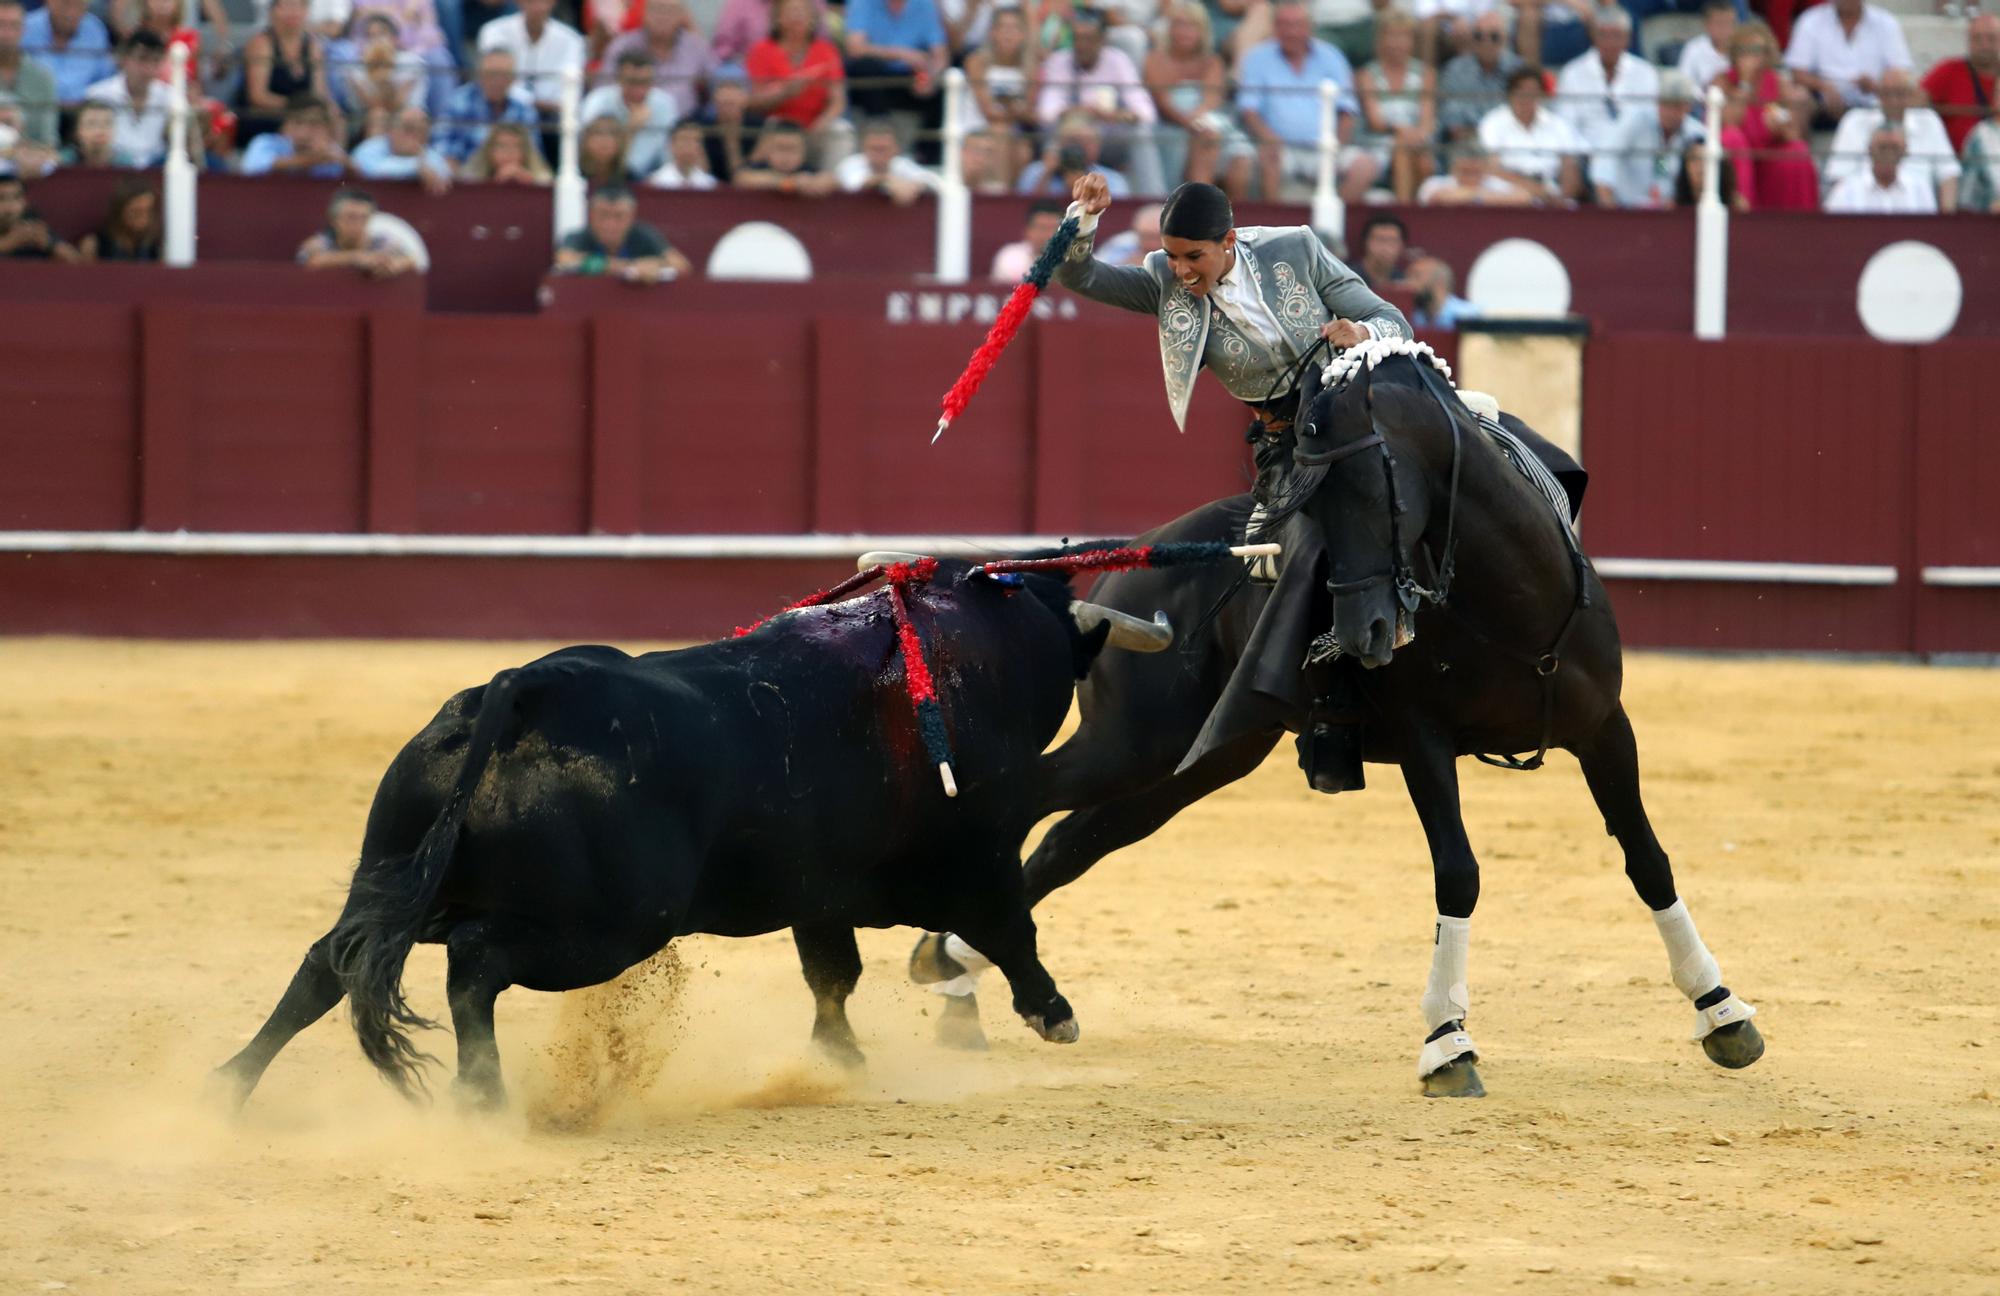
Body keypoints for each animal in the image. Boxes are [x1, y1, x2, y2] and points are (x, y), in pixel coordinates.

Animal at [215, 560, 1160, 1112]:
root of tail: (520, 690)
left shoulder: (819, 890)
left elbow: (832, 974)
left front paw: (838, 1058)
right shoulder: (981, 854)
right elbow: (1009, 929)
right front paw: (1055, 1015)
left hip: (394, 873)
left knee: (328, 962)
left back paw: (227, 1089)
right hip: (609, 926)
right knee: (473, 964)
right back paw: (483, 1098)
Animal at [920, 344, 1768, 1096]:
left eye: (1375, 492)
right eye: (1308, 507)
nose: (1366, 634)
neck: (1512, 603)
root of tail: (1135, 556)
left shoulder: (1604, 728)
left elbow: (1648, 859)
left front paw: (1721, 1010)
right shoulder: (1428, 739)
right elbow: (1458, 872)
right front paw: (1447, 1041)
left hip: (1194, 762)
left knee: (1073, 839)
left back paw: (957, 971)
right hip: (1132, 741)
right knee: (1027, 802)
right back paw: (970, 977)